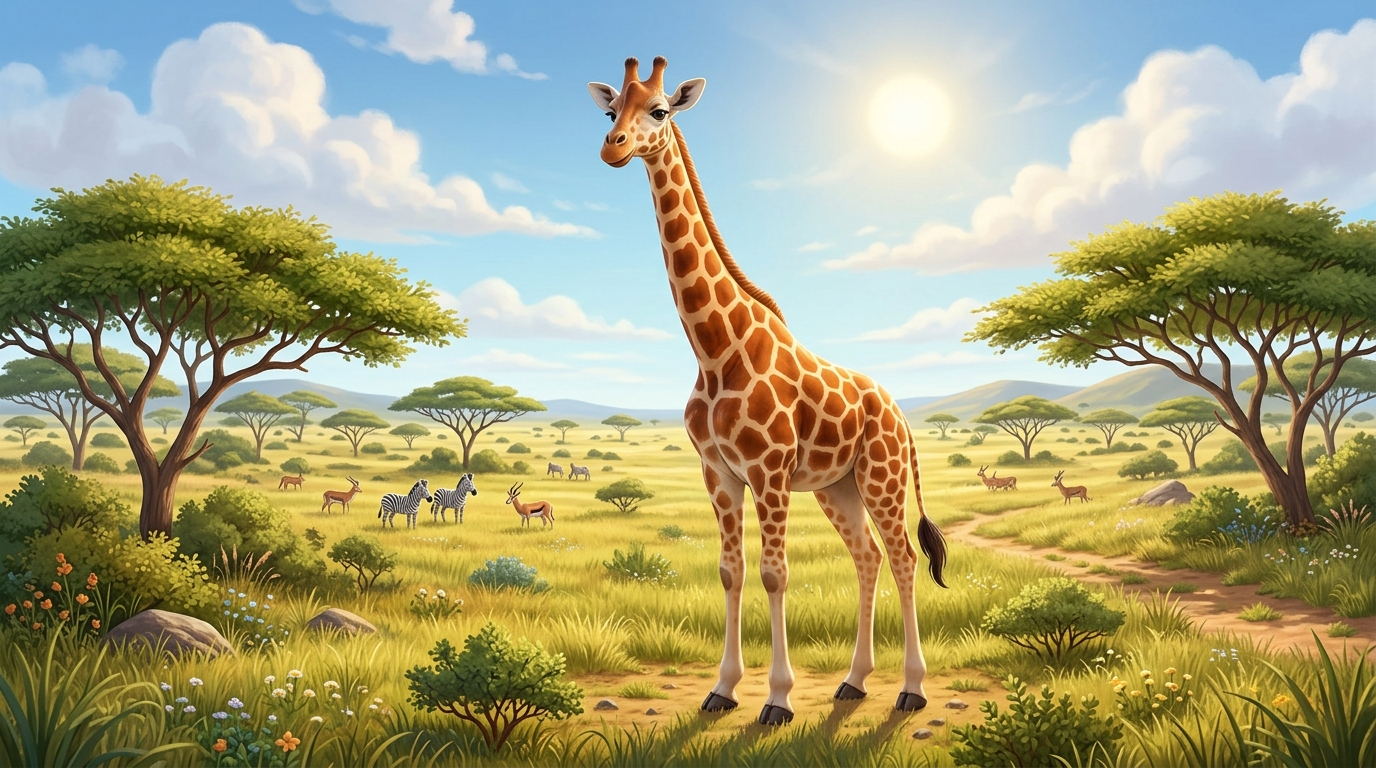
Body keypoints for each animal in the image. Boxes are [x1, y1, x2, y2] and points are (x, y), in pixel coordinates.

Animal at [589, 57, 948, 726]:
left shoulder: (770, 471)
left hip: (881, 477)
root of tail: (902, 415)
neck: (714, 351)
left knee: (904, 557)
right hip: (838, 487)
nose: (613, 147)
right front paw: (722, 690)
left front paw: (777, 699)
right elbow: (730, 573)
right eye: (609, 110)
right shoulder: (720, 473)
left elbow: (775, 575)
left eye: (660, 111)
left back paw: (911, 689)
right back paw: (854, 681)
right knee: (868, 557)